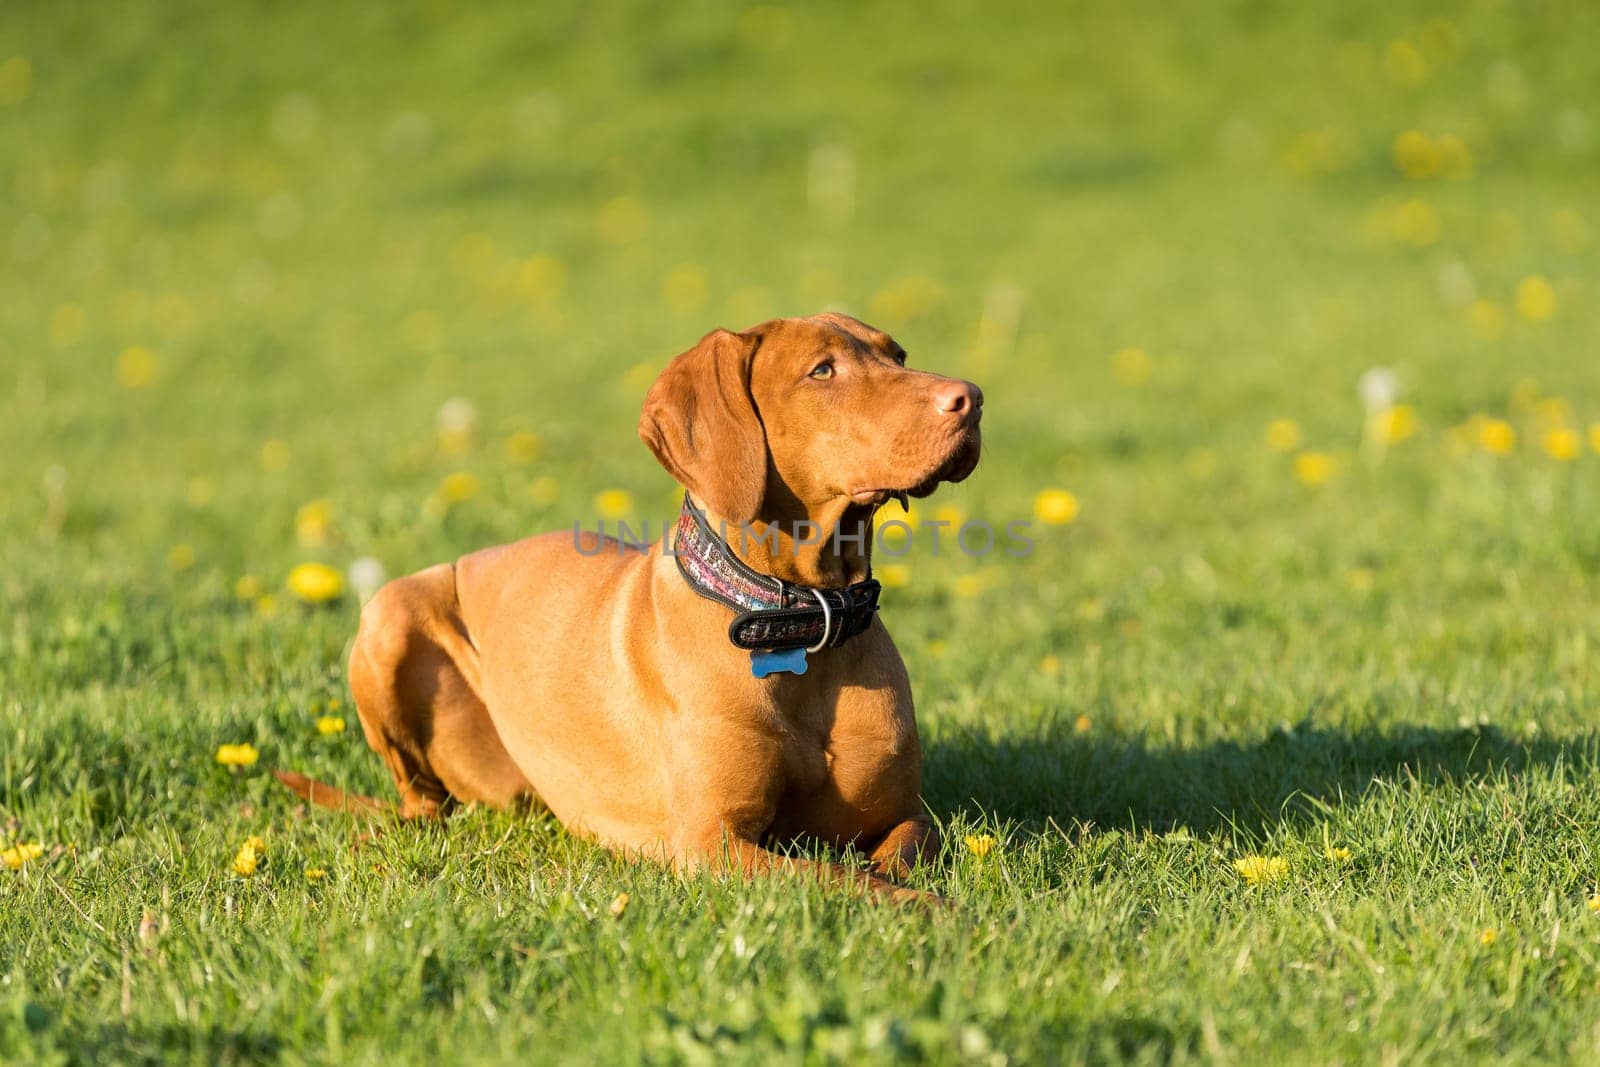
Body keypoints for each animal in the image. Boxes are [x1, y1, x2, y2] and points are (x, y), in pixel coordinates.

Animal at [281, 310, 979, 902]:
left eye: (898, 355)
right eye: (823, 371)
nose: (971, 398)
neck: (801, 622)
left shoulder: (906, 815)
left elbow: (898, 856)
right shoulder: (713, 843)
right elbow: (846, 881)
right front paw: (939, 913)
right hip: (390, 611)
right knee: (422, 807)